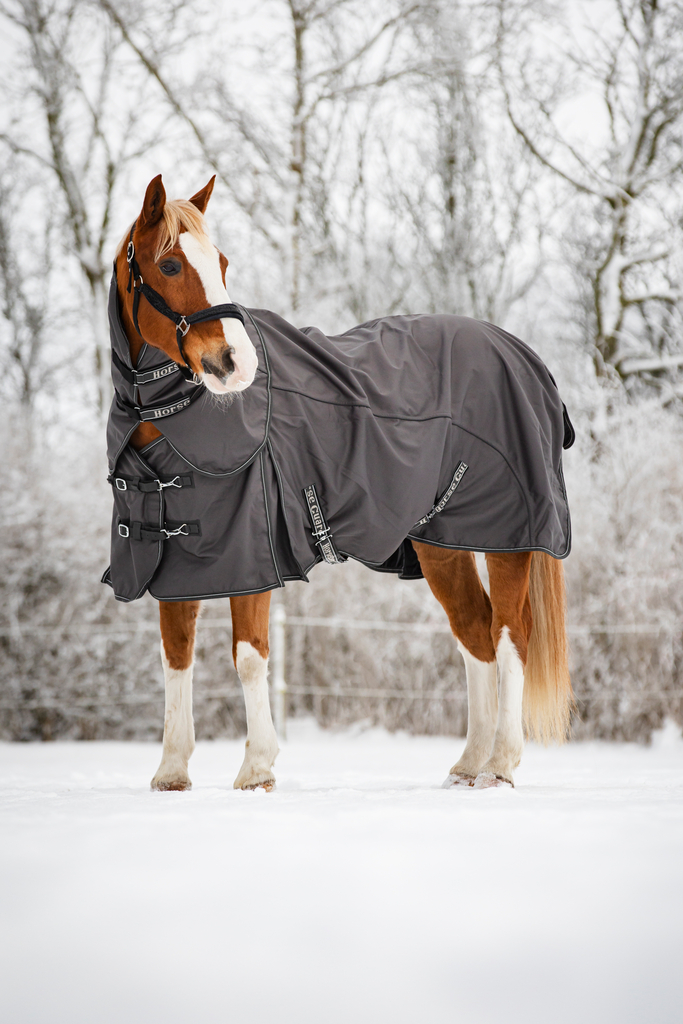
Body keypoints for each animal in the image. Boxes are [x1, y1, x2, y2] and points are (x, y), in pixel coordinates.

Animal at [108, 173, 573, 792]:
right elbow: (176, 654)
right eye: (170, 266)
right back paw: (468, 765)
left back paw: (499, 764)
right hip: (442, 545)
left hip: (510, 538)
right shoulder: (180, 561)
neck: (174, 422)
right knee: (474, 632)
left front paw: (256, 769)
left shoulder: (251, 557)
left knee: (509, 634)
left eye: (222, 262)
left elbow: (249, 655)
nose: (234, 363)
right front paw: (171, 771)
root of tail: (526, 358)